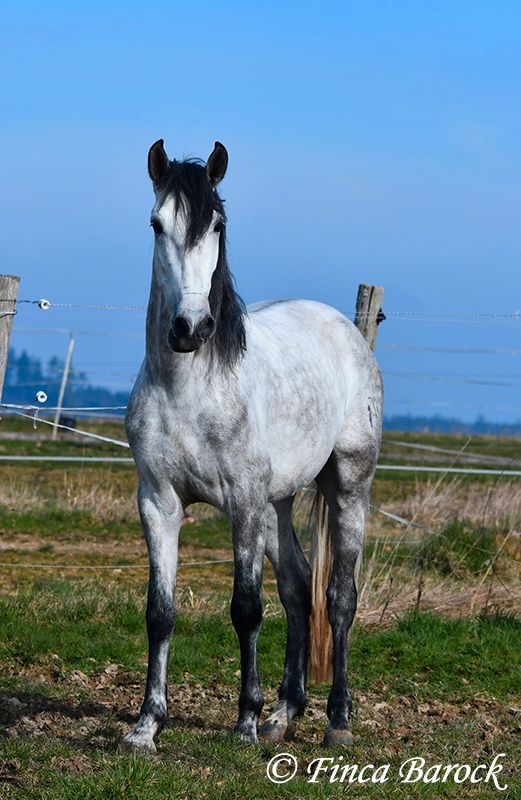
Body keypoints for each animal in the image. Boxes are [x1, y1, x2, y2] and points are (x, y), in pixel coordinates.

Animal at [121, 134, 382, 752]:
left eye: (217, 224)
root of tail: (344, 328)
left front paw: (242, 721)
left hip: (347, 485)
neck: (189, 388)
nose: (190, 328)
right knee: (298, 588)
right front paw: (146, 726)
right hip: (275, 503)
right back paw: (284, 714)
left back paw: (337, 720)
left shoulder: (240, 499)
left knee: (339, 597)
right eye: (156, 224)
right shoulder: (158, 502)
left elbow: (245, 608)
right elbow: (160, 612)